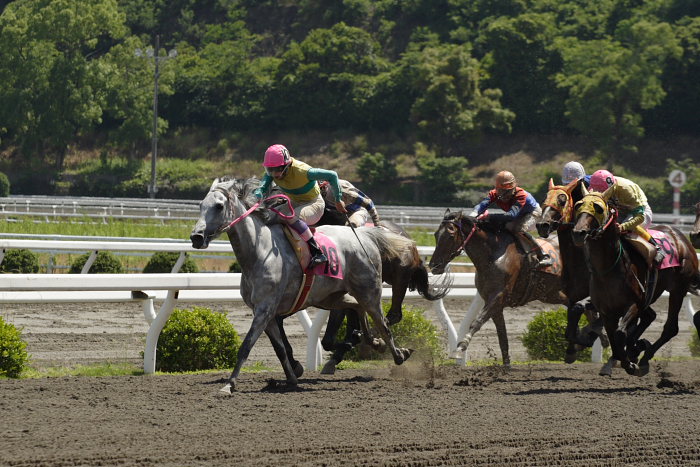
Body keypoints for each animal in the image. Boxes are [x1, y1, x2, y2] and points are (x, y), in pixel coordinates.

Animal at [190, 177, 416, 394]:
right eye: (200, 205)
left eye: (219, 206)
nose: (196, 237)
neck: (259, 251)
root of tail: (365, 235)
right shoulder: (266, 313)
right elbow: (280, 349)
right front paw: (291, 378)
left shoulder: (264, 309)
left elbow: (246, 346)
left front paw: (229, 385)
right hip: (332, 297)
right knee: (356, 307)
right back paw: (373, 342)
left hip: (370, 291)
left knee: (383, 323)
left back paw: (399, 354)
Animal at [426, 210, 568, 368]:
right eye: (436, 235)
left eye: (450, 235)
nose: (434, 266)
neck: (492, 256)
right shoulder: (494, 303)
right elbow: (502, 336)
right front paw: (506, 366)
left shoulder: (498, 297)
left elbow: (477, 322)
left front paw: (460, 348)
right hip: (551, 293)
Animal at [536, 177, 608, 364]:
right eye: (544, 199)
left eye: (562, 200)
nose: (542, 225)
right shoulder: (572, 295)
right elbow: (572, 325)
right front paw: (572, 350)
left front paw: (588, 338)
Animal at [572, 186, 696, 376]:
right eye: (578, 205)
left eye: (598, 208)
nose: (579, 233)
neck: (607, 270)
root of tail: (680, 236)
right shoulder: (607, 311)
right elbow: (614, 338)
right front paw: (627, 356)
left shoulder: (634, 303)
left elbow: (620, 333)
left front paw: (631, 362)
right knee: (650, 316)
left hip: (678, 289)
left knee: (670, 327)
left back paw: (644, 357)